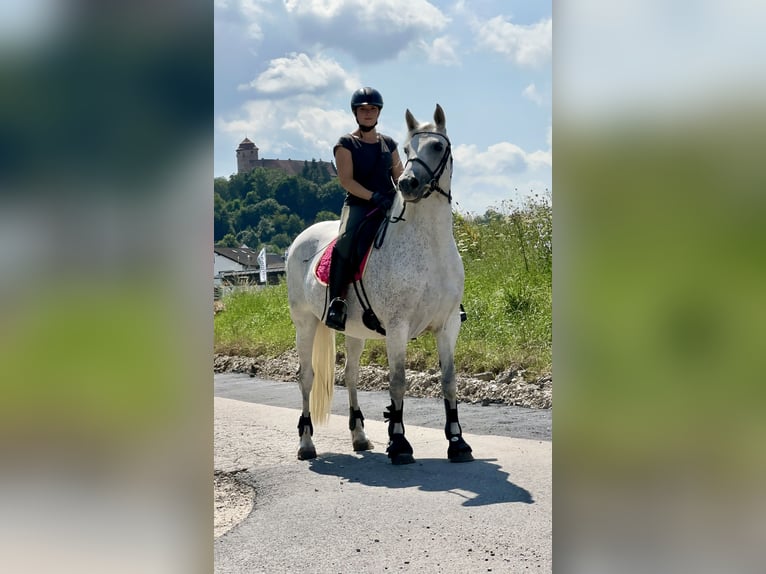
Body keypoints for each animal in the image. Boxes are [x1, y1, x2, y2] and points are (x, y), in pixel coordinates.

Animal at [285, 104, 473, 465]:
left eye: (437, 146)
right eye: (407, 149)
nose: (408, 183)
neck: (429, 245)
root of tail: (301, 238)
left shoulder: (448, 326)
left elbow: (449, 381)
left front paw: (457, 443)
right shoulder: (398, 327)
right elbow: (397, 382)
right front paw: (399, 443)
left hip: (354, 330)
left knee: (351, 375)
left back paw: (359, 436)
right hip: (305, 322)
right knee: (307, 378)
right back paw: (305, 443)